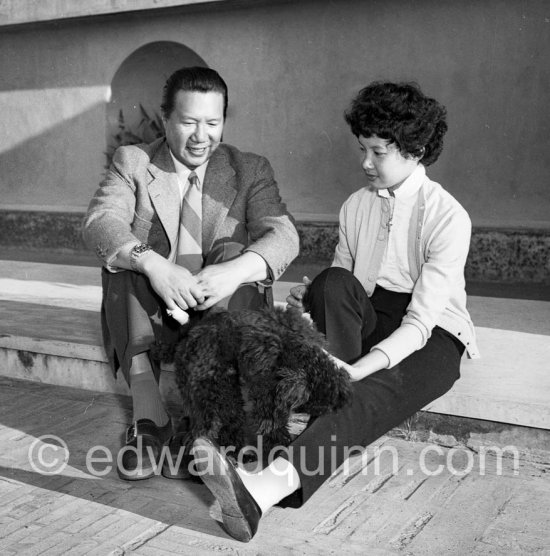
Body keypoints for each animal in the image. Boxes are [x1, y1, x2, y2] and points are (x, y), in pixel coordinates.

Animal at [153, 306, 354, 458]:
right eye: (309, 408)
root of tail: (188, 334)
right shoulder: (267, 393)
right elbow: (272, 424)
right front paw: (279, 445)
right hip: (209, 392)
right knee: (206, 425)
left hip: (225, 394)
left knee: (231, 421)